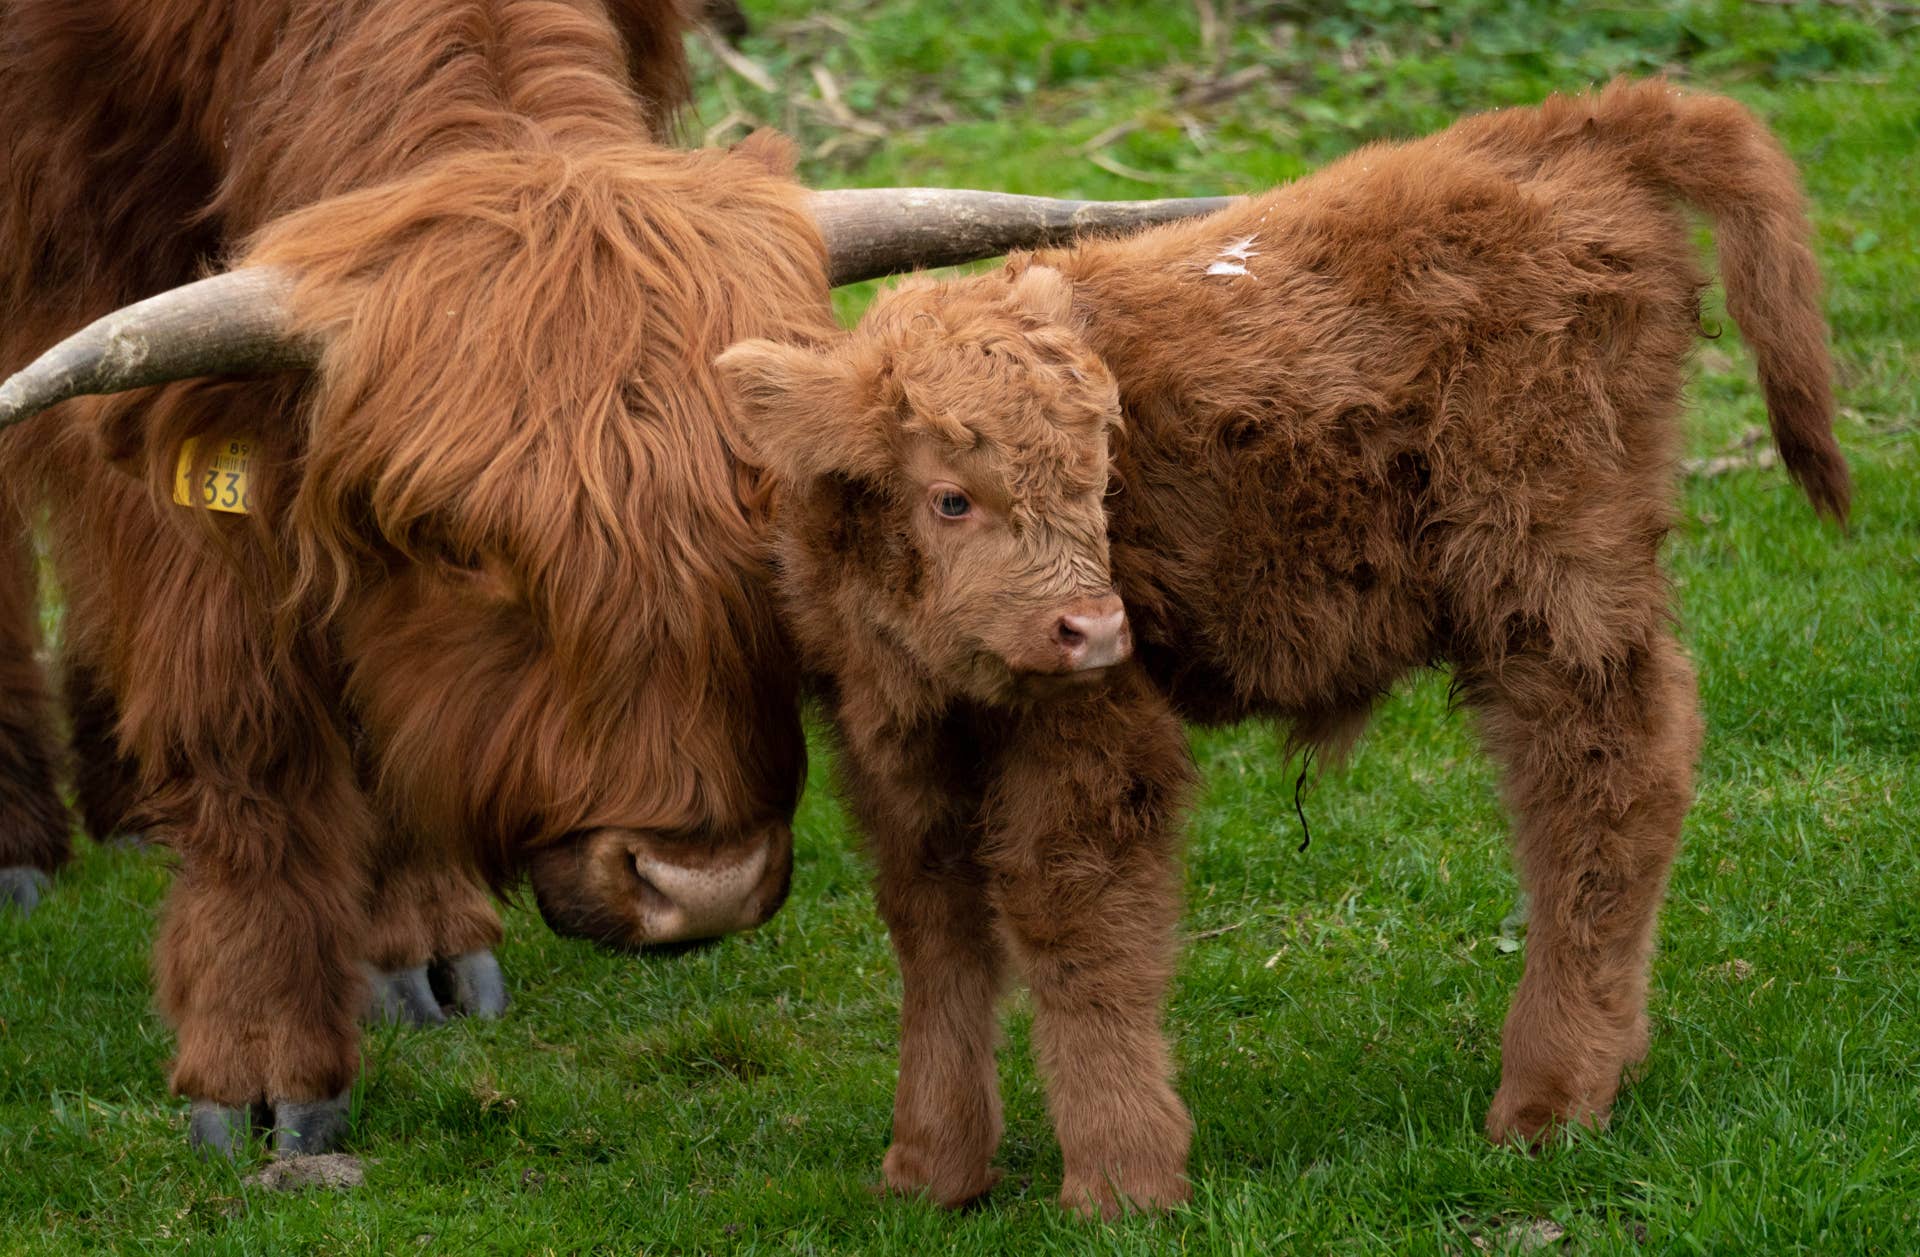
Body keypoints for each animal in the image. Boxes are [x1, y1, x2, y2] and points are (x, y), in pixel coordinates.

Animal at [0, 0, 1226, 1155]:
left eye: (779, 515)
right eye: (457, 547)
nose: (701, 887)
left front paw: (419, 934)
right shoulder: (100, 253)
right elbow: (234, 705)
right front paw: (259, 1055)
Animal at [715, 79, 1849, 1216]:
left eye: (1100, 481)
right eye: (949, 497)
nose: (1096, 627)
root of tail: (1570, 126)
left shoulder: (1094, 743)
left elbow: (1075, 932)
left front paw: (1121, 1182)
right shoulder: (895, 756)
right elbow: (936, 929)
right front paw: (928, 1168)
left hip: (1547, 575)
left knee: (1603, 779)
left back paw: (1548, 1096)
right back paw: (1618, 1056)